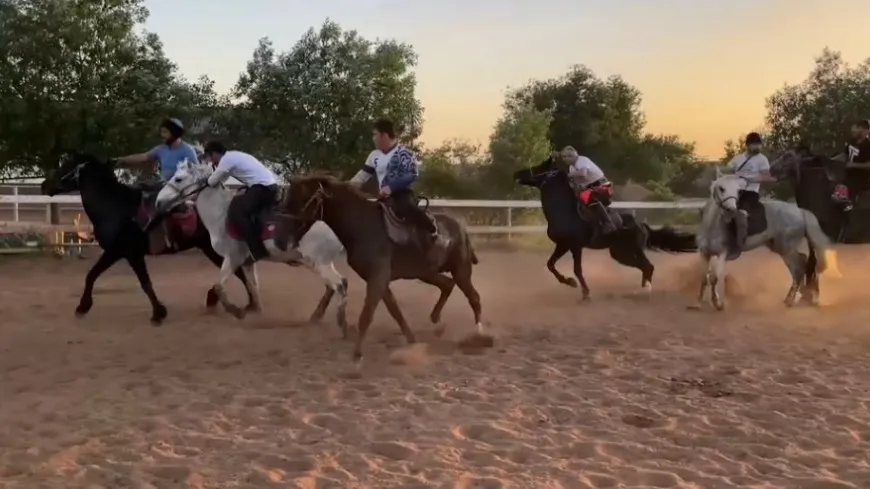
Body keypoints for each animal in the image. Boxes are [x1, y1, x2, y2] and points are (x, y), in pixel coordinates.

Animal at [41, 152, 255, 324]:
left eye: (66, 165)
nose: (44, 185)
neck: (116, 208)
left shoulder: (127, 252)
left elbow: (143, 283)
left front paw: (158, 313)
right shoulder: (117, 252)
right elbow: (92, 275)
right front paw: (83, 306)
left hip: (213, 248)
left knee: (239, 271)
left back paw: (244, 303)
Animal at [155, 160, 350, 332]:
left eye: (178, 179)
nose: (158, 201)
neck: (221, 215)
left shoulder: (232, 258)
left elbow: (219, 286)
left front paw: (237, 312)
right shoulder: (248, 262)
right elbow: (252, 287)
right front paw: (255, 312)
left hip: (319, 262)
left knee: (340, 284)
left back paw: (340, 322)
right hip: (317, 262)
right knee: (333, 286)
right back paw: (316, 316)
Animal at [278, 175, 490, 362]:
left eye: (300, 199)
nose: (282, 238)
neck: (363, 226)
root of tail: (460, 226)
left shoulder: (378, 278)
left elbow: (367, 315)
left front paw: (357, 355)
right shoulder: (379, 279)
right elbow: (394, 310)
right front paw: (412, 340)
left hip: (461, 269)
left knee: (474, 297)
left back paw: (479, 335)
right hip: (426, 273)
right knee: (448, 285)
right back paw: (437, 323)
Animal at [516, 156, 700, 300]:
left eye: (541, 166)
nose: (517, 173)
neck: (564, 211)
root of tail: (641, 225)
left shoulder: (573, 246)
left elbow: (576, 269)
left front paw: (584, 292)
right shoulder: (563, 245)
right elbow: (551, 265)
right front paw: (571, 283)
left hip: (627, 251)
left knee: (648, 266)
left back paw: (644, 291)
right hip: (619, 253)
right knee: (645, 267)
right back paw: (641, 290)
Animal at [692, 174, 840, 308]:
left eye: (738, 191)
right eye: (721, 188)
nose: (731, 210)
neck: (713, 225)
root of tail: (800, 212)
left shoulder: (722, 254)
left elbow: (714, 278)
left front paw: (717, 303)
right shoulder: (704, 253)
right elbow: (703, 277)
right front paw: (698, 302)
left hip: (786, 247)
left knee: (799, 266)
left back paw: (792, 300)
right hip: (781, 249)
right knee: (798, 267)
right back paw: (794, 297)